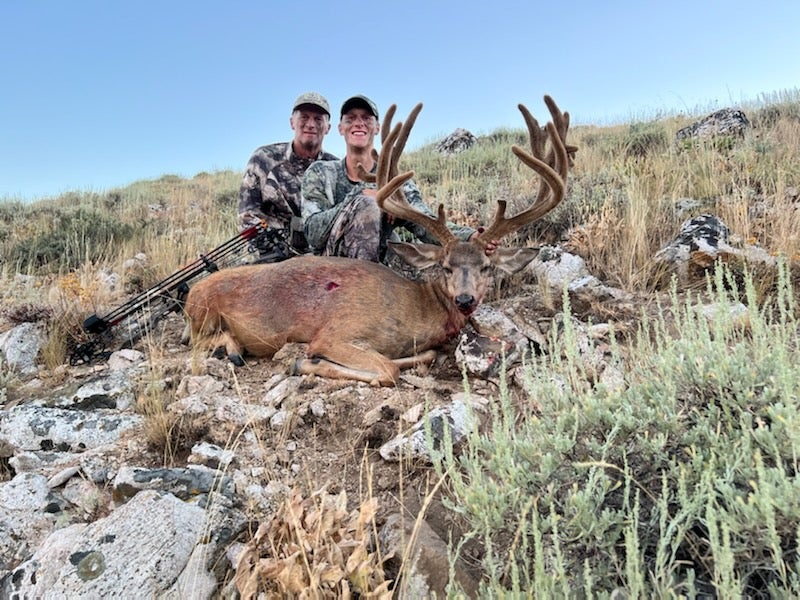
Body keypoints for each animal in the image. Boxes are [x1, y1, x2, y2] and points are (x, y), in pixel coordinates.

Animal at [184, 94, 572, 384]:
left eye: (487, 267)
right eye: (445, 267)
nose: (465, 299)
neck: (415, 308)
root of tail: (190, 293)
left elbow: (418, 357)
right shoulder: (334, 332)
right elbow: (385, 369)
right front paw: (304, 362)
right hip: (204, 313)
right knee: (198, 339)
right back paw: (230, 349)